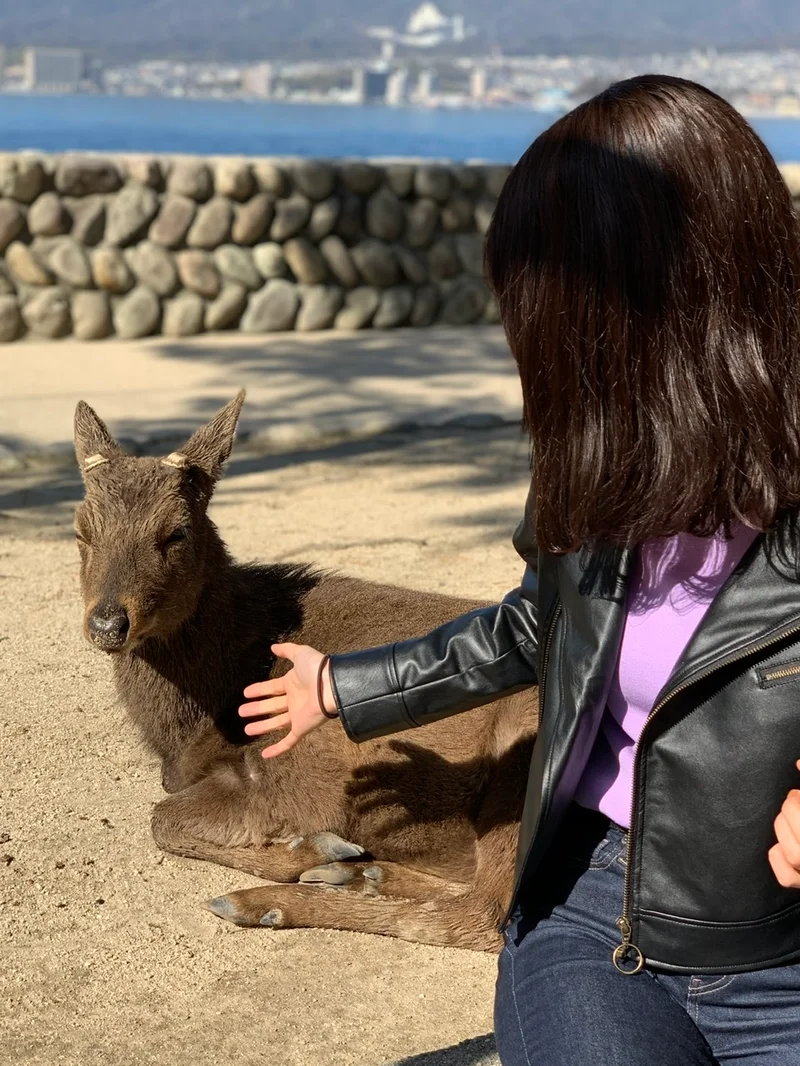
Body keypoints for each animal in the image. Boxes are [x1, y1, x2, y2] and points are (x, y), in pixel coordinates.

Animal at [75, 392, 539, 950]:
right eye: (81, 531)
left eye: (176, 531)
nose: (107, 624)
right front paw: (331, 856)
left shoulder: (309, 773)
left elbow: (162, 820)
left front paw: (312, 848)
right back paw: (361, 874)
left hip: (522, 753)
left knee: (484, 914)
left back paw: (264, 901)